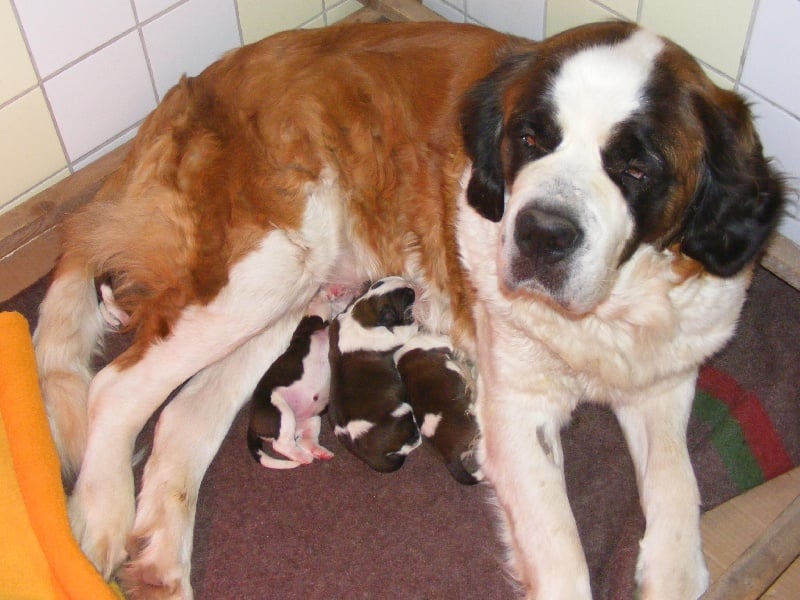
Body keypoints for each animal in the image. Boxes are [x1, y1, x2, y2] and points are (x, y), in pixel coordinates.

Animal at [244, 314, 332, 468]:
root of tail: (252, 425)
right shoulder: (311, 323)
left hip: (312, 419)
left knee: (305, 441)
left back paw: (319, 452)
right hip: (283, 413)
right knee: (281, 445)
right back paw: (303, 457)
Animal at [328, 276, 422, 474]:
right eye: (409, 295)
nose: (412, 286)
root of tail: (370, 456)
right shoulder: (398, 335)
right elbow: (410, 328)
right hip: (403, 412)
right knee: (410, 442)